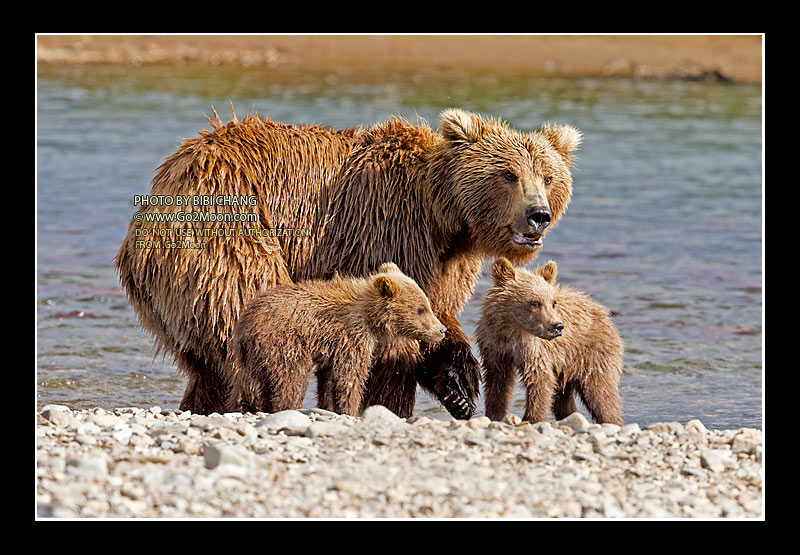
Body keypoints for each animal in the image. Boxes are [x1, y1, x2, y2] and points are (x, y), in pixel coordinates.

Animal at [114, 106, 580, 420]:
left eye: (548, 176)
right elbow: (390, 339)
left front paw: (459, 385)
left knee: (206, 364)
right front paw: (389, 402)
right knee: (241, 321)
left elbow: (436, 310)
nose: (538, 214)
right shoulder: (383, 228)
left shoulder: (445, 262)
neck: (445, 218)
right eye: (509, 174)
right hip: (226, 231)